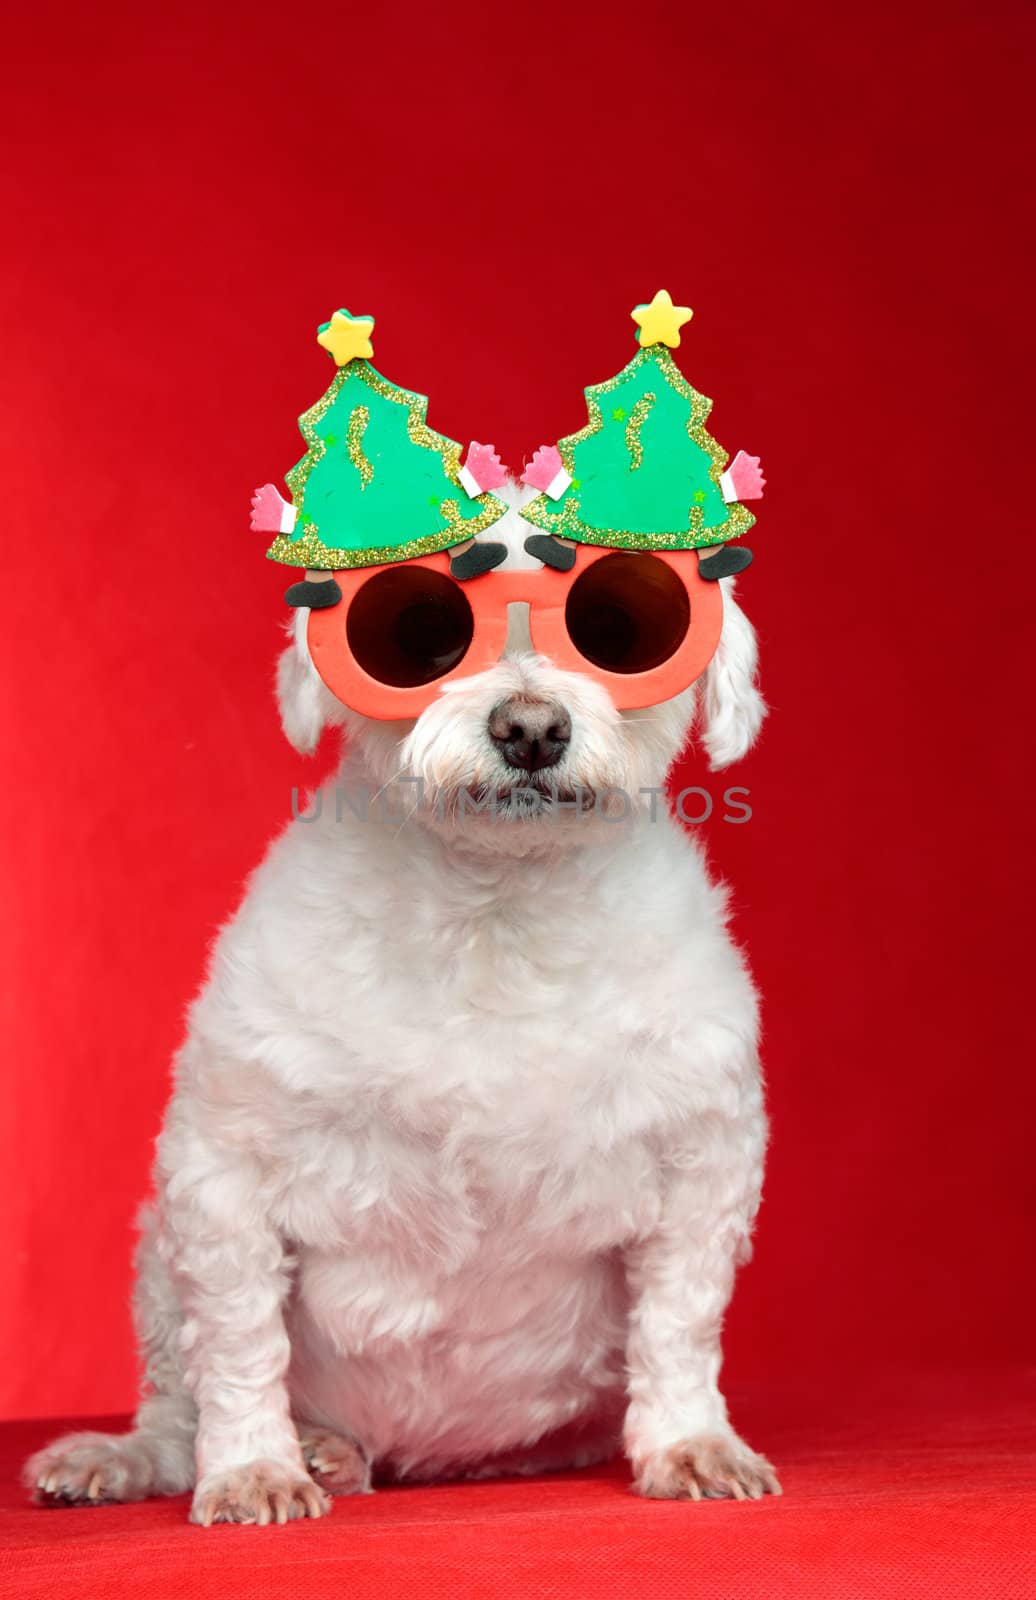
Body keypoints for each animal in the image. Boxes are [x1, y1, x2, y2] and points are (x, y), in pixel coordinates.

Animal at [26, 499, 777, 1523]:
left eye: (618, 631)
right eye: (423, 637)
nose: (530, 728)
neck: (498, 911)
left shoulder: (702, 1161)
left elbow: (680, 1323)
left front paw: (690, 1442)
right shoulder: (222, 1170)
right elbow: (238, 1342)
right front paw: (253, 1465)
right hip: (155, 1265)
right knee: (175, 1409)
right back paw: (206, 1452)